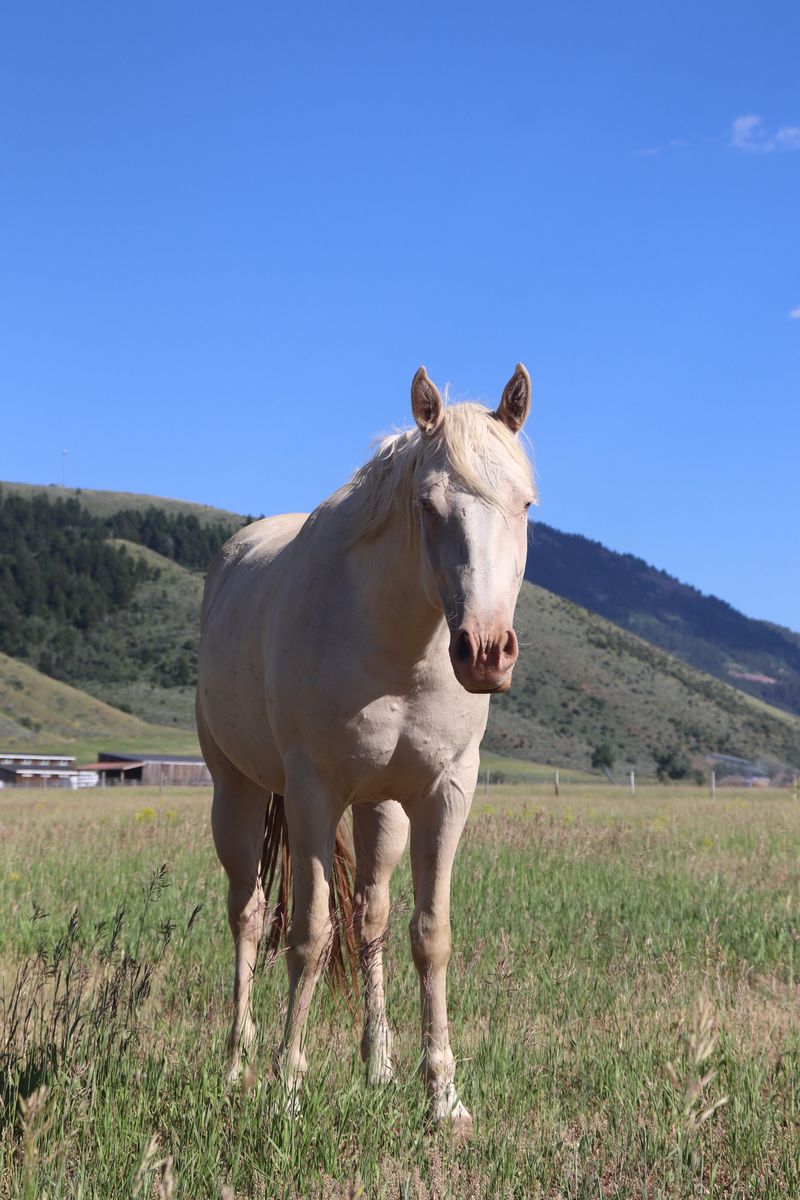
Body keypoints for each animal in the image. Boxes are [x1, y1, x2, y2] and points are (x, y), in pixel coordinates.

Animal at [196, 364, 535, 1128]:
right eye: (429, 505)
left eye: (527, 504)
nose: (486, 652)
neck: (398, 643)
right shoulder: (314, 793)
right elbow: (309, 937)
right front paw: (287, 1087)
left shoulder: (444, 793)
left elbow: (428, 935)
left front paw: (443, 1096)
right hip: (239, 791)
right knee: (249, 915)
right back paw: (235, 1064)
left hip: (381, 809)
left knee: (370, 915)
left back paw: (376, 1064)